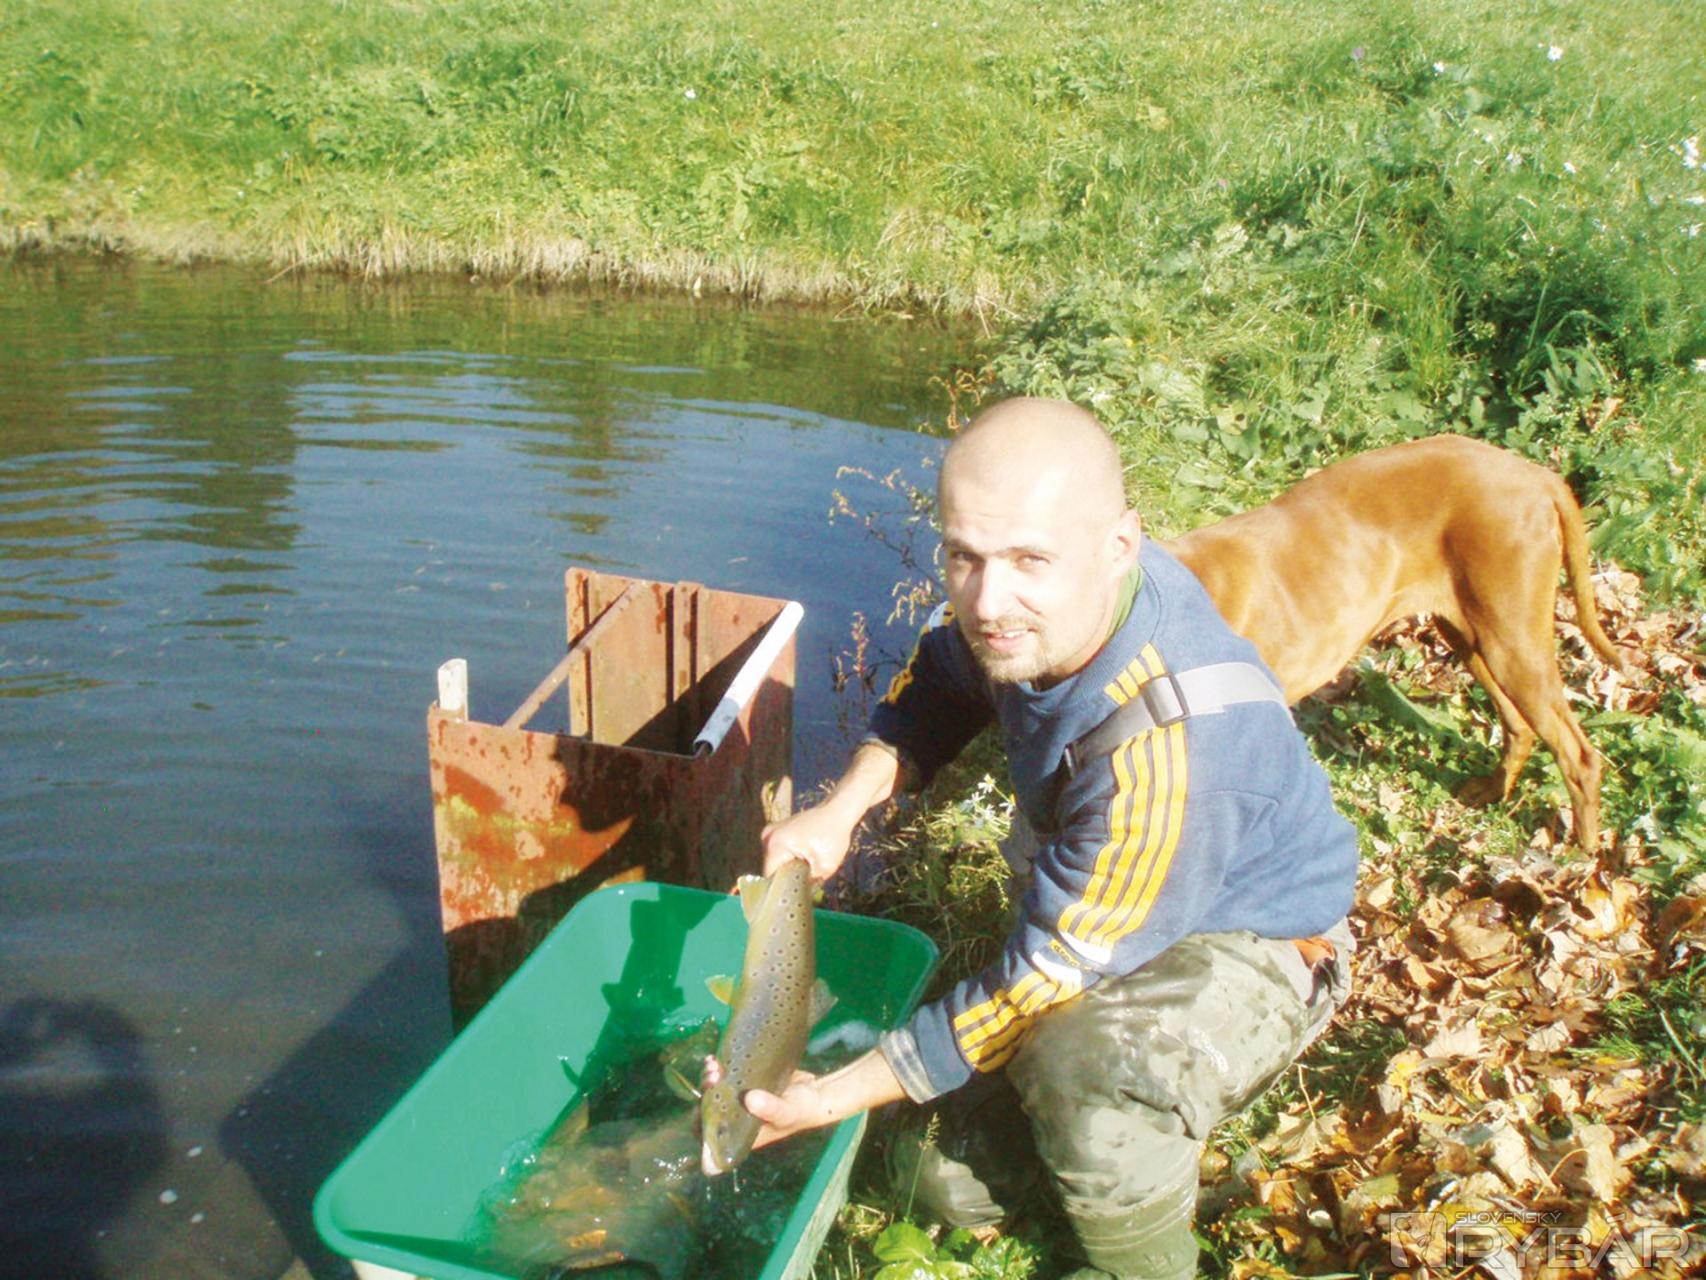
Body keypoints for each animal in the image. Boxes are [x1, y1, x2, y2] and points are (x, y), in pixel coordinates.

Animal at [1163, 433, 1625, 850]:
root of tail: (1536, 475)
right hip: (1470, 636)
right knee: (1519, 727)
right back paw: (1492, 792)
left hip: (1512, 641)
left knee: (1578, 754)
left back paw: (1582, 853)